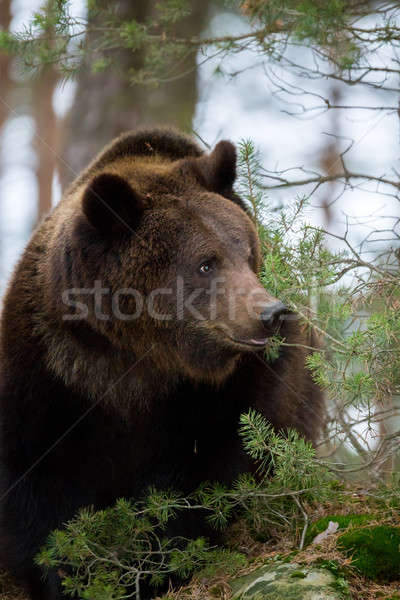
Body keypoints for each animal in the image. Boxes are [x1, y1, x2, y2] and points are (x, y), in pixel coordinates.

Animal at [0, 125, 322, 596]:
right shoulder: (49, 376)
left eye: (247, 252)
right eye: (206, 263)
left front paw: (159, 564)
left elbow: (205, 475)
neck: (139, 360)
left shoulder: (224, 395)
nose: (271, 313)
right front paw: (69, 573)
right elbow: (40, 487)